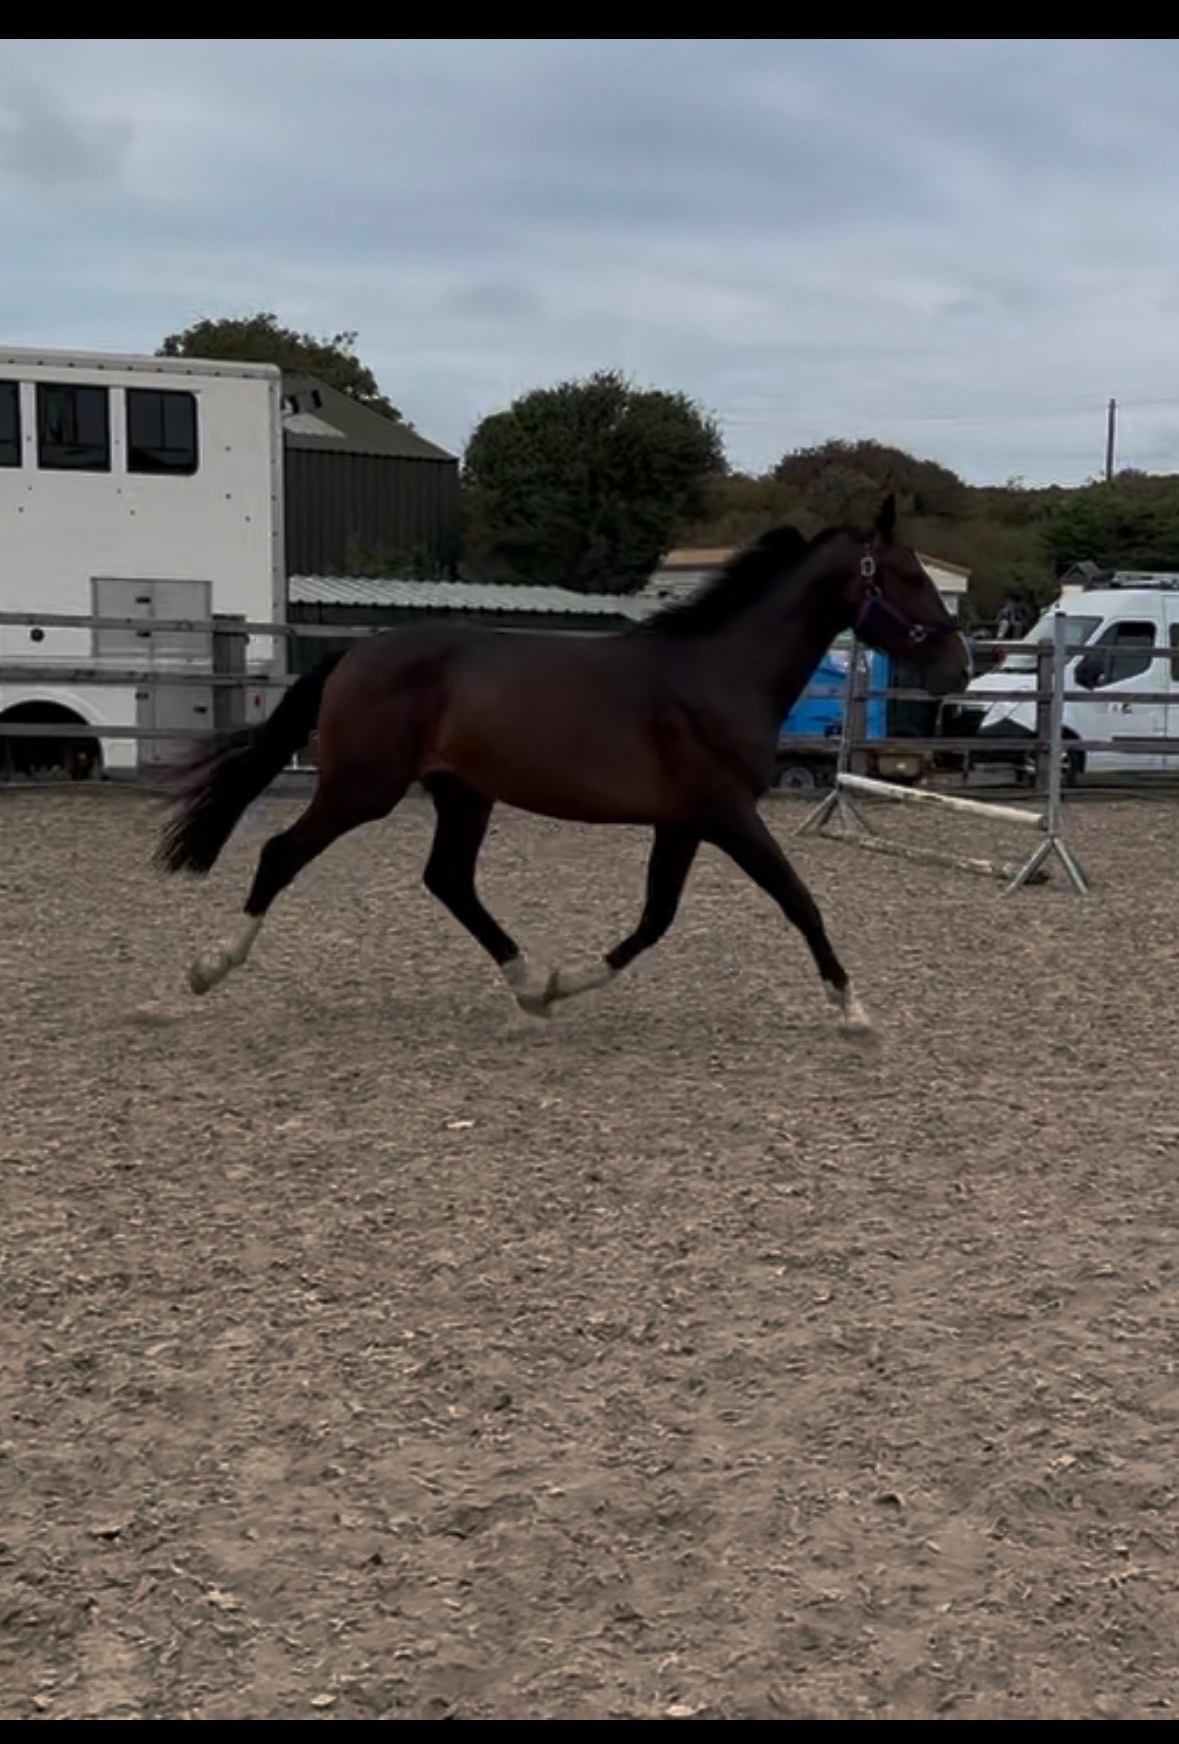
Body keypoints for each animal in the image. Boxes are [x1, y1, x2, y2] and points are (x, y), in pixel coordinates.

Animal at [154, 495, 970, 1034]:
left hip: (462, 794)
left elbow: (654, 919)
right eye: (908, 577)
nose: (958, 669)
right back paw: (207, 969)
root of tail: (354, 654)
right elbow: (797, 900)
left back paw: (526, 985)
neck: (721, 673)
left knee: (448, 880)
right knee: (280, 853)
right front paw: (853, 1007)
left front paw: (563, 984)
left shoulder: (684, 823)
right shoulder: (728, 815)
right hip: (364, 788)